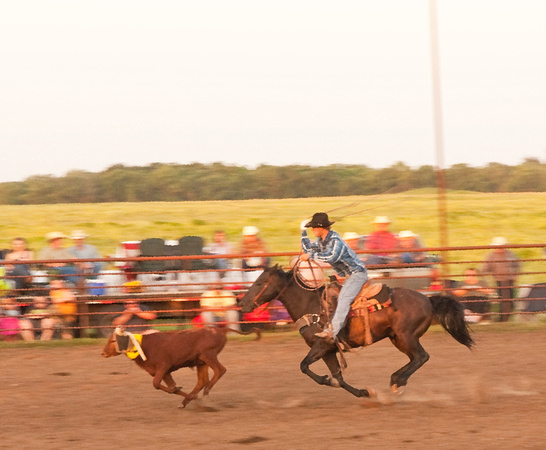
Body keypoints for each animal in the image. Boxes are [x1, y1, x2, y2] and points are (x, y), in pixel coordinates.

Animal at [101, 326, 260, 408]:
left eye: (112, 340)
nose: (103, 353)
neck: (144, 346)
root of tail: (220, 329)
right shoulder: (164, 372)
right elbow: (169, 387)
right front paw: (180, 391)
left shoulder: (163, 367)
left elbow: (156, 384)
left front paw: (178, 391)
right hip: (201, 362)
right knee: (202, 381)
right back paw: (188, 400)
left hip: (208, 356)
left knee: (220, 371)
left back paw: (205, 393)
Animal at [238, 266, 472, 400]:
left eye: (260, 282)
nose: (242, 304)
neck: (311, 306)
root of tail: (428, 299)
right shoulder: (328, 351)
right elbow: (338, 378)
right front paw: (364, 392)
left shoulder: (322, 345)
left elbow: (304, 366)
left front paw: (326, 379)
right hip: (397, 338)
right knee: (415, 359)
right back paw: (395, 379)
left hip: (407, 337)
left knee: (422, 357)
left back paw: (397, 381)